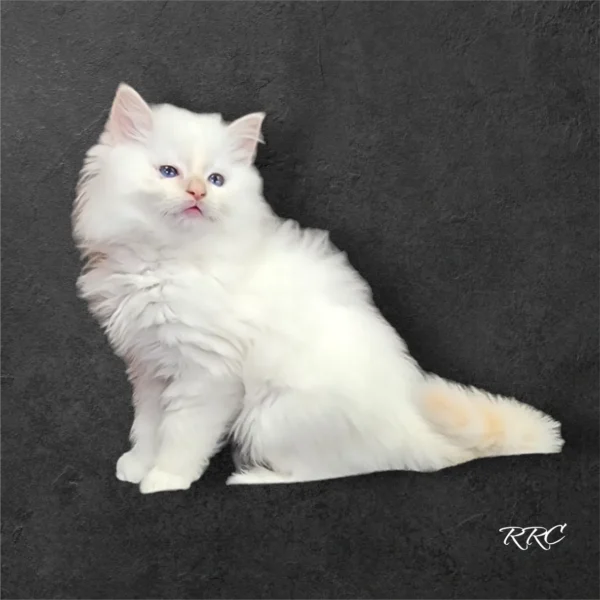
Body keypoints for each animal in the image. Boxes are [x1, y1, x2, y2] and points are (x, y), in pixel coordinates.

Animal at [71, 84, 564, 492]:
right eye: (169, 172)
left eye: (216, 180)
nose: (197, 194)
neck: (167, 261)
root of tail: (416, 433)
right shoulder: (150, 368)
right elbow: (149, 424)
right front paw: (139, 464)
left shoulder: (205, 375)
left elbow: (181, 435)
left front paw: (165, 479)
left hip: (271, 416)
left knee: (334, 470)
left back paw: (254, 479)